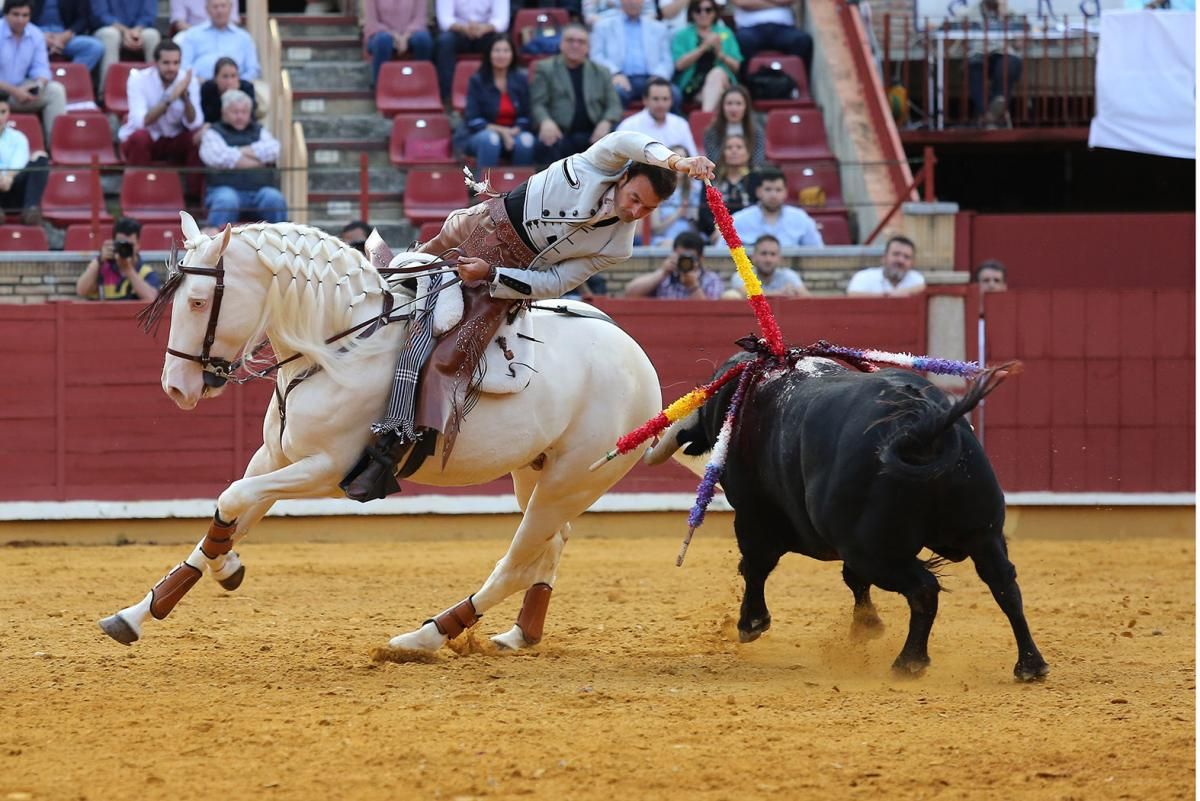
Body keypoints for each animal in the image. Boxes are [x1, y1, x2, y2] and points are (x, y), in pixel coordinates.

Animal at [100, 211, 667, 652]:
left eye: (198, 301)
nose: (176, 387)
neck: (336, 346)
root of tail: (638, 360)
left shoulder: (327, 469)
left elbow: (234, 497)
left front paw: (225, 569)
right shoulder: (275, 457)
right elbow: (231, 510)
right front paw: (142, 610)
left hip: (571, 480)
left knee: (517, 561)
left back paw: (424, 637)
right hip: (535, 471)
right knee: (549, 545)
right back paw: (519, 634)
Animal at [657, 352, 1051, 681]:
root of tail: (920, 429)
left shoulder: (755, 518)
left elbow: (756, 567)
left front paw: (751, 623)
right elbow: (852, 580)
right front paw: (866, 626)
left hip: (874, 550)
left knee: (924, 588)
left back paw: (909, 663)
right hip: (983, 534)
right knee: (1004, 584)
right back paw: (1030, 665)